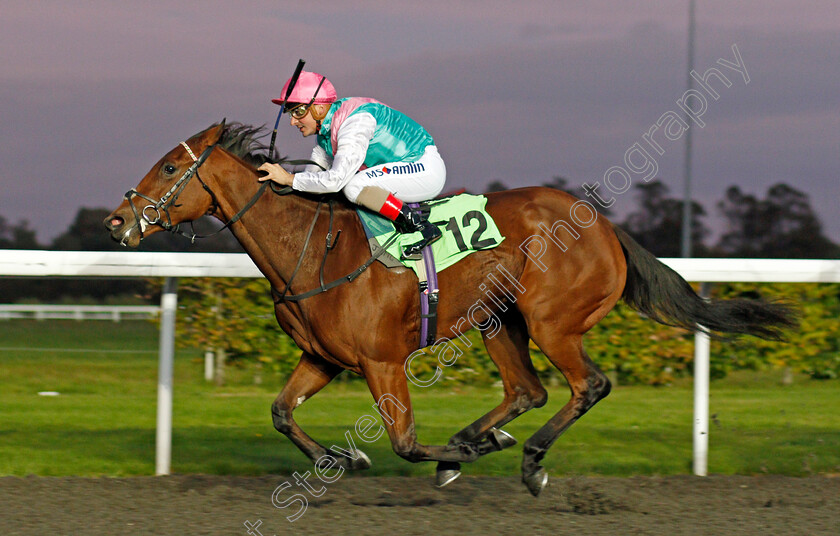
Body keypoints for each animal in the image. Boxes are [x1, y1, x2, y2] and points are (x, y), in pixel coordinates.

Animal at [103, 120, 796, 494]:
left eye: (169, 168)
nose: (116, 221)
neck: (313, 250)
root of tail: (604, 226)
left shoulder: (382, 361)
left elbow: (406, 443)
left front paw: (449, 457)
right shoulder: (323, 357)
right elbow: (280, 412)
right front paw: (343, 456)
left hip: (551, 322)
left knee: (587, 385)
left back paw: (527, 460)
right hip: (499, 320)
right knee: (527, 391)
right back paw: (484, 436)